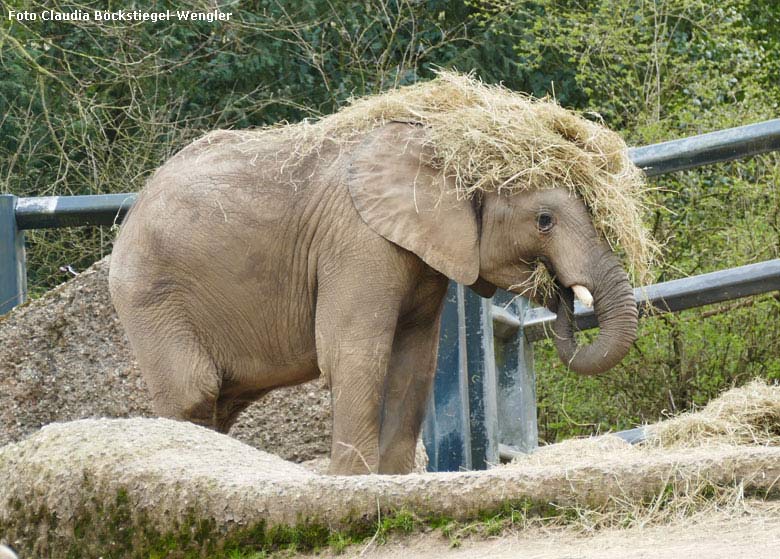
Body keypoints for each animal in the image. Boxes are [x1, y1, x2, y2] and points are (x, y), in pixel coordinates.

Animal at [109, 120, 636, 474]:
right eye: (544, 221)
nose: (561, 291)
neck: (439, 151)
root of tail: (131, 210)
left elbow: (414, 362)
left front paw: (394, 481)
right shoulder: (358, 242)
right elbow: (356, 354)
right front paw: (354, 483)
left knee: (220, 400)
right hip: (150, 294)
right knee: (193, 393)